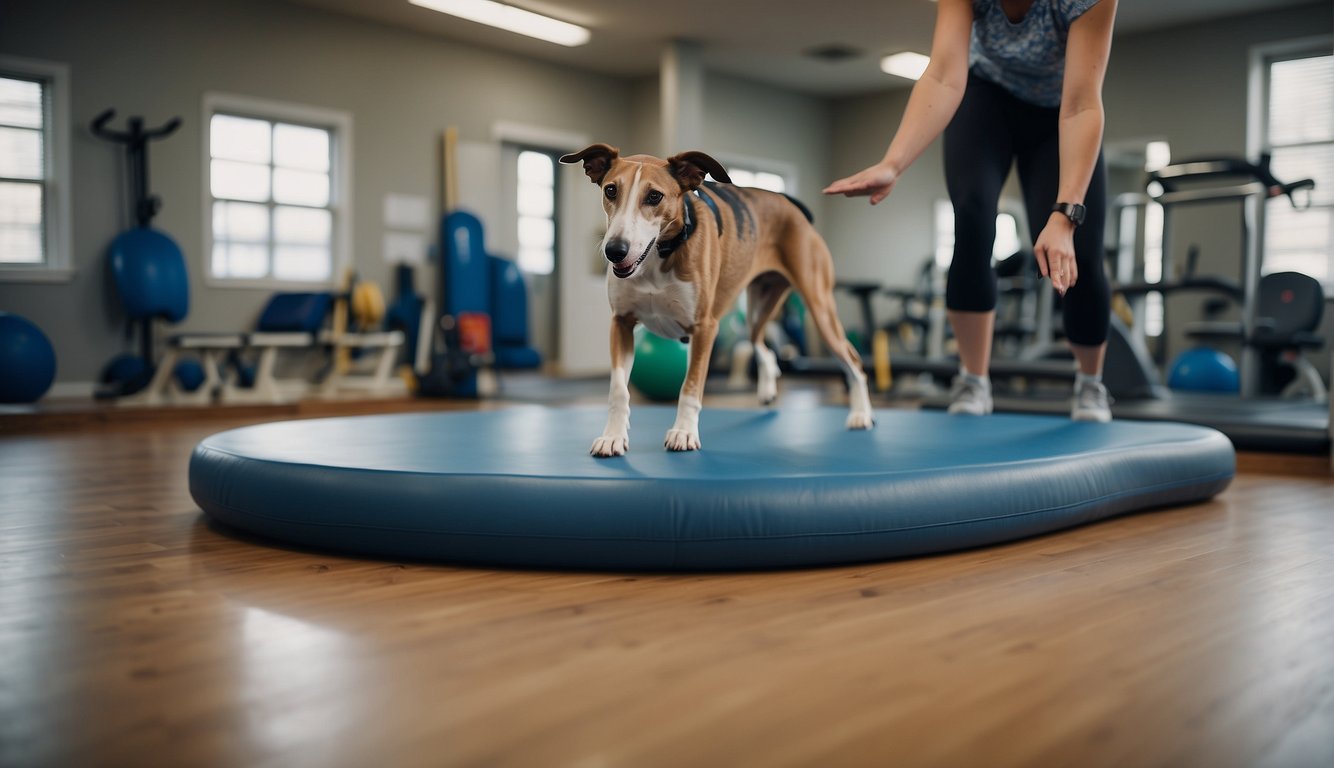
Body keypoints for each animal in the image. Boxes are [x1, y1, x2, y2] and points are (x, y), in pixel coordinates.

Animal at [554, 144, 875, 456]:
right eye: (611, 190)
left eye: (654, 196)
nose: (615, 250)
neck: (660, 253)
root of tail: (792, 208)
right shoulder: (621, 323)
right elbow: (619, 389)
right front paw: (612, 437)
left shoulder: (705, 328)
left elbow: (690, 387)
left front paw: (683, 432)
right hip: (757, 311)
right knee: (763, 345)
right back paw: (768, 387)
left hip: (820, 311)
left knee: (854, 361)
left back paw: (861, 414)